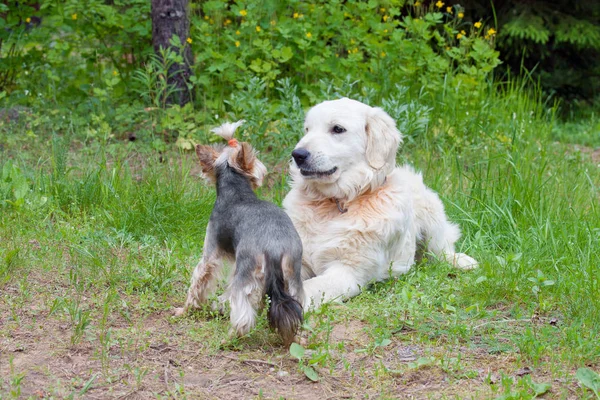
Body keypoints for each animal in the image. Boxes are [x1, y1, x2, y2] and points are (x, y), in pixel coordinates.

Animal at [173, 120, 304, 346]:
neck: (237, 192)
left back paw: (230, 339)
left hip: (246, 273)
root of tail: (274, 246)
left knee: (243, 314)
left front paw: (185, 310)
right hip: (293, 276)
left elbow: (197, 283)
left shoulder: (210, 255)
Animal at [282, 97, 478, 310]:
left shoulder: (348, 271)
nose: (297, 154)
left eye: (337, 129)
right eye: (307, 129)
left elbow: (310, 287)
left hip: (431, 212)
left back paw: (462, 261)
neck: (336, 202)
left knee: (442, 248)